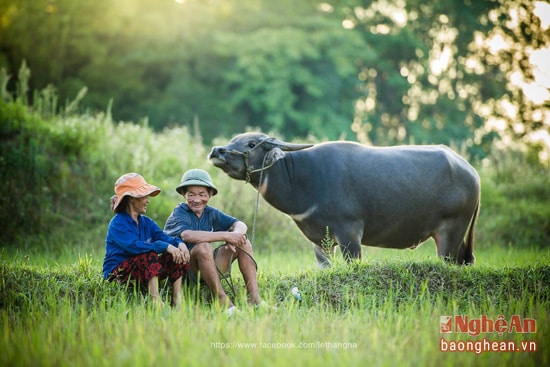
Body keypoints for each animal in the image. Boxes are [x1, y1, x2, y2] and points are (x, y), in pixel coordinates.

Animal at [209, 132, 480, 268]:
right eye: (233, 140)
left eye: (251, 143)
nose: (216, 151)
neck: (304, 178)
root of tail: (472, 172)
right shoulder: (319, 240)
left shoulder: (350, 233)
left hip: (451, 230)